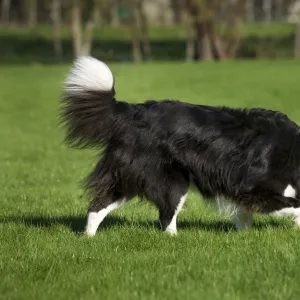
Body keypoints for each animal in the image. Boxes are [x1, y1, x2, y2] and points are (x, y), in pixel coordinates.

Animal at [59, 55, 300, 236]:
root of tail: (132, 112)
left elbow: (244, 217)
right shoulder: (253, 190)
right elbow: (295, 205)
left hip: (128, 175)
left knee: (98, 206)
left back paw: (89, 238)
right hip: (170, 179)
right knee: (166, 217)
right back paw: (176, 239)